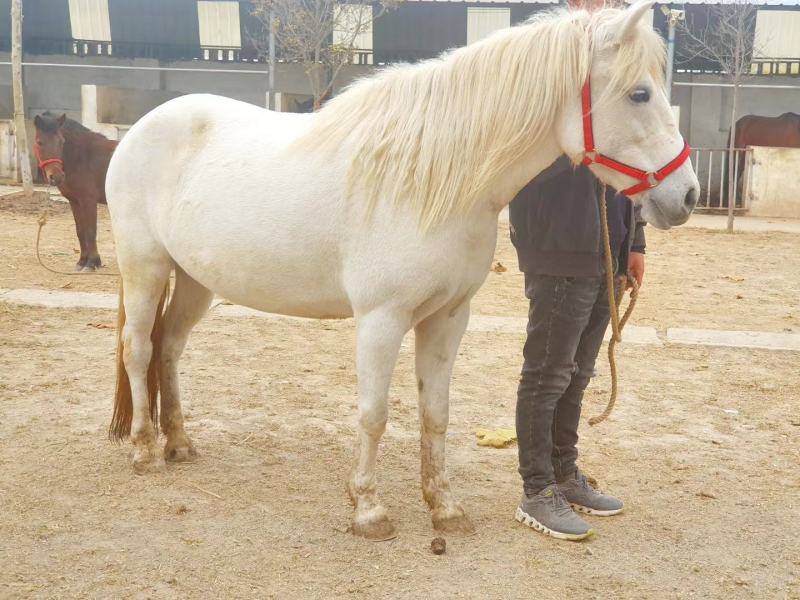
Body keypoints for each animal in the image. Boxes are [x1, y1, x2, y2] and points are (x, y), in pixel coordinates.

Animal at [33, 112, 118, 271]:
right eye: (39, 142)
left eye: (61, 142)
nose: (56, 176)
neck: (81, 157)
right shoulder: (74, 201)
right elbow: (80, 231)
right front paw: (82, 261)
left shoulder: (88, 201)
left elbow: (91, 231)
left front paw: (92, 263)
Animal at [106, 1, 699, 540]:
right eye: (639, 93)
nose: (687, 195)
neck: (431, 177)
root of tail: (138, 129)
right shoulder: (380, 320)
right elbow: (374, 415)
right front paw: (369, 510)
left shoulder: (448, 318)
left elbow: (435, 413)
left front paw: (445, 508)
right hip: (145, 267)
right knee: (138, 348)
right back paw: (145, 450)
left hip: (196, 281)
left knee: (169, 347)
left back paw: (180, 443)